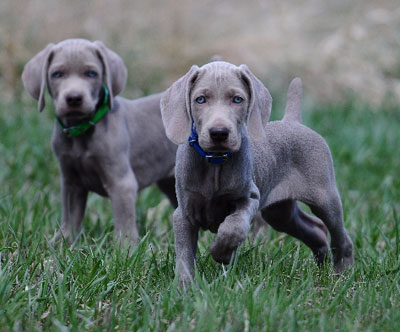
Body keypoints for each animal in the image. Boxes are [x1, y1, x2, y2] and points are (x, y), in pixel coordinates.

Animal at [22, 39, 177, 244]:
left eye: (91, 73)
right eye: (57, 74)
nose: (74, 98)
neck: (81, 132)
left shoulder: (122, 183)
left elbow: (124, 225)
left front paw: (125, 250)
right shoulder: (71, 182)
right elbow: (70, 219)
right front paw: (62, 243)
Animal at [159, 60, 354, 286]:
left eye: (237, 99)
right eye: (200, 99)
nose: (219, 133)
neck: (215, 162)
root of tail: (293, 122)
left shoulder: (249, 197)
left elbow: (234, 226)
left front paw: (221, 252)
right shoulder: (183, 214)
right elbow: (184, 255)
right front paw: (184, 287)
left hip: (325, 197)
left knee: (340, 235)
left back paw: (342, 274)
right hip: (279, 213)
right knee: (316, 228)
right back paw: (322, 267)